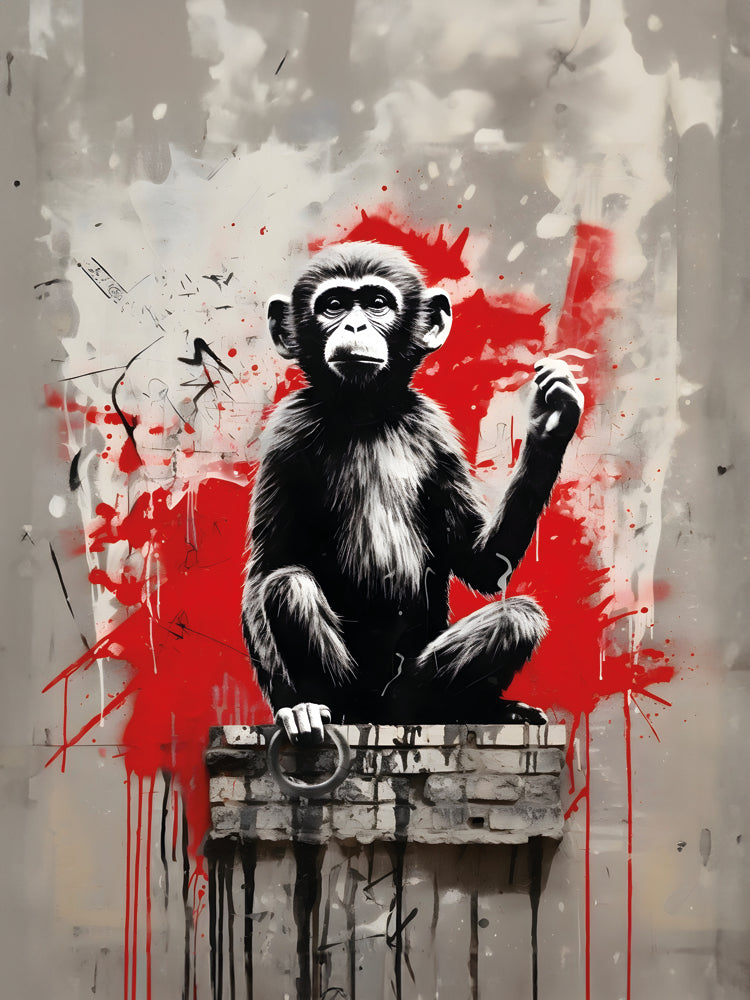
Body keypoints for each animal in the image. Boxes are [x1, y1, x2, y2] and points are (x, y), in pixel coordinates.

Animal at [242, 242, 584, 744]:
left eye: (377, 303)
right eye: (333, 305)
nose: (355, 325)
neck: (365, 412)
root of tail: (381, 717)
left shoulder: (436, 432)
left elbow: (481, 563)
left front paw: (550, 422)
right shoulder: (287, 434)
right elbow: (269, 564)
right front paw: (291, 707)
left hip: (411, 689)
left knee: (516, 619)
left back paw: (481, 709)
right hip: (354, 691)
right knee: (288, 587)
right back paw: (320, 707)